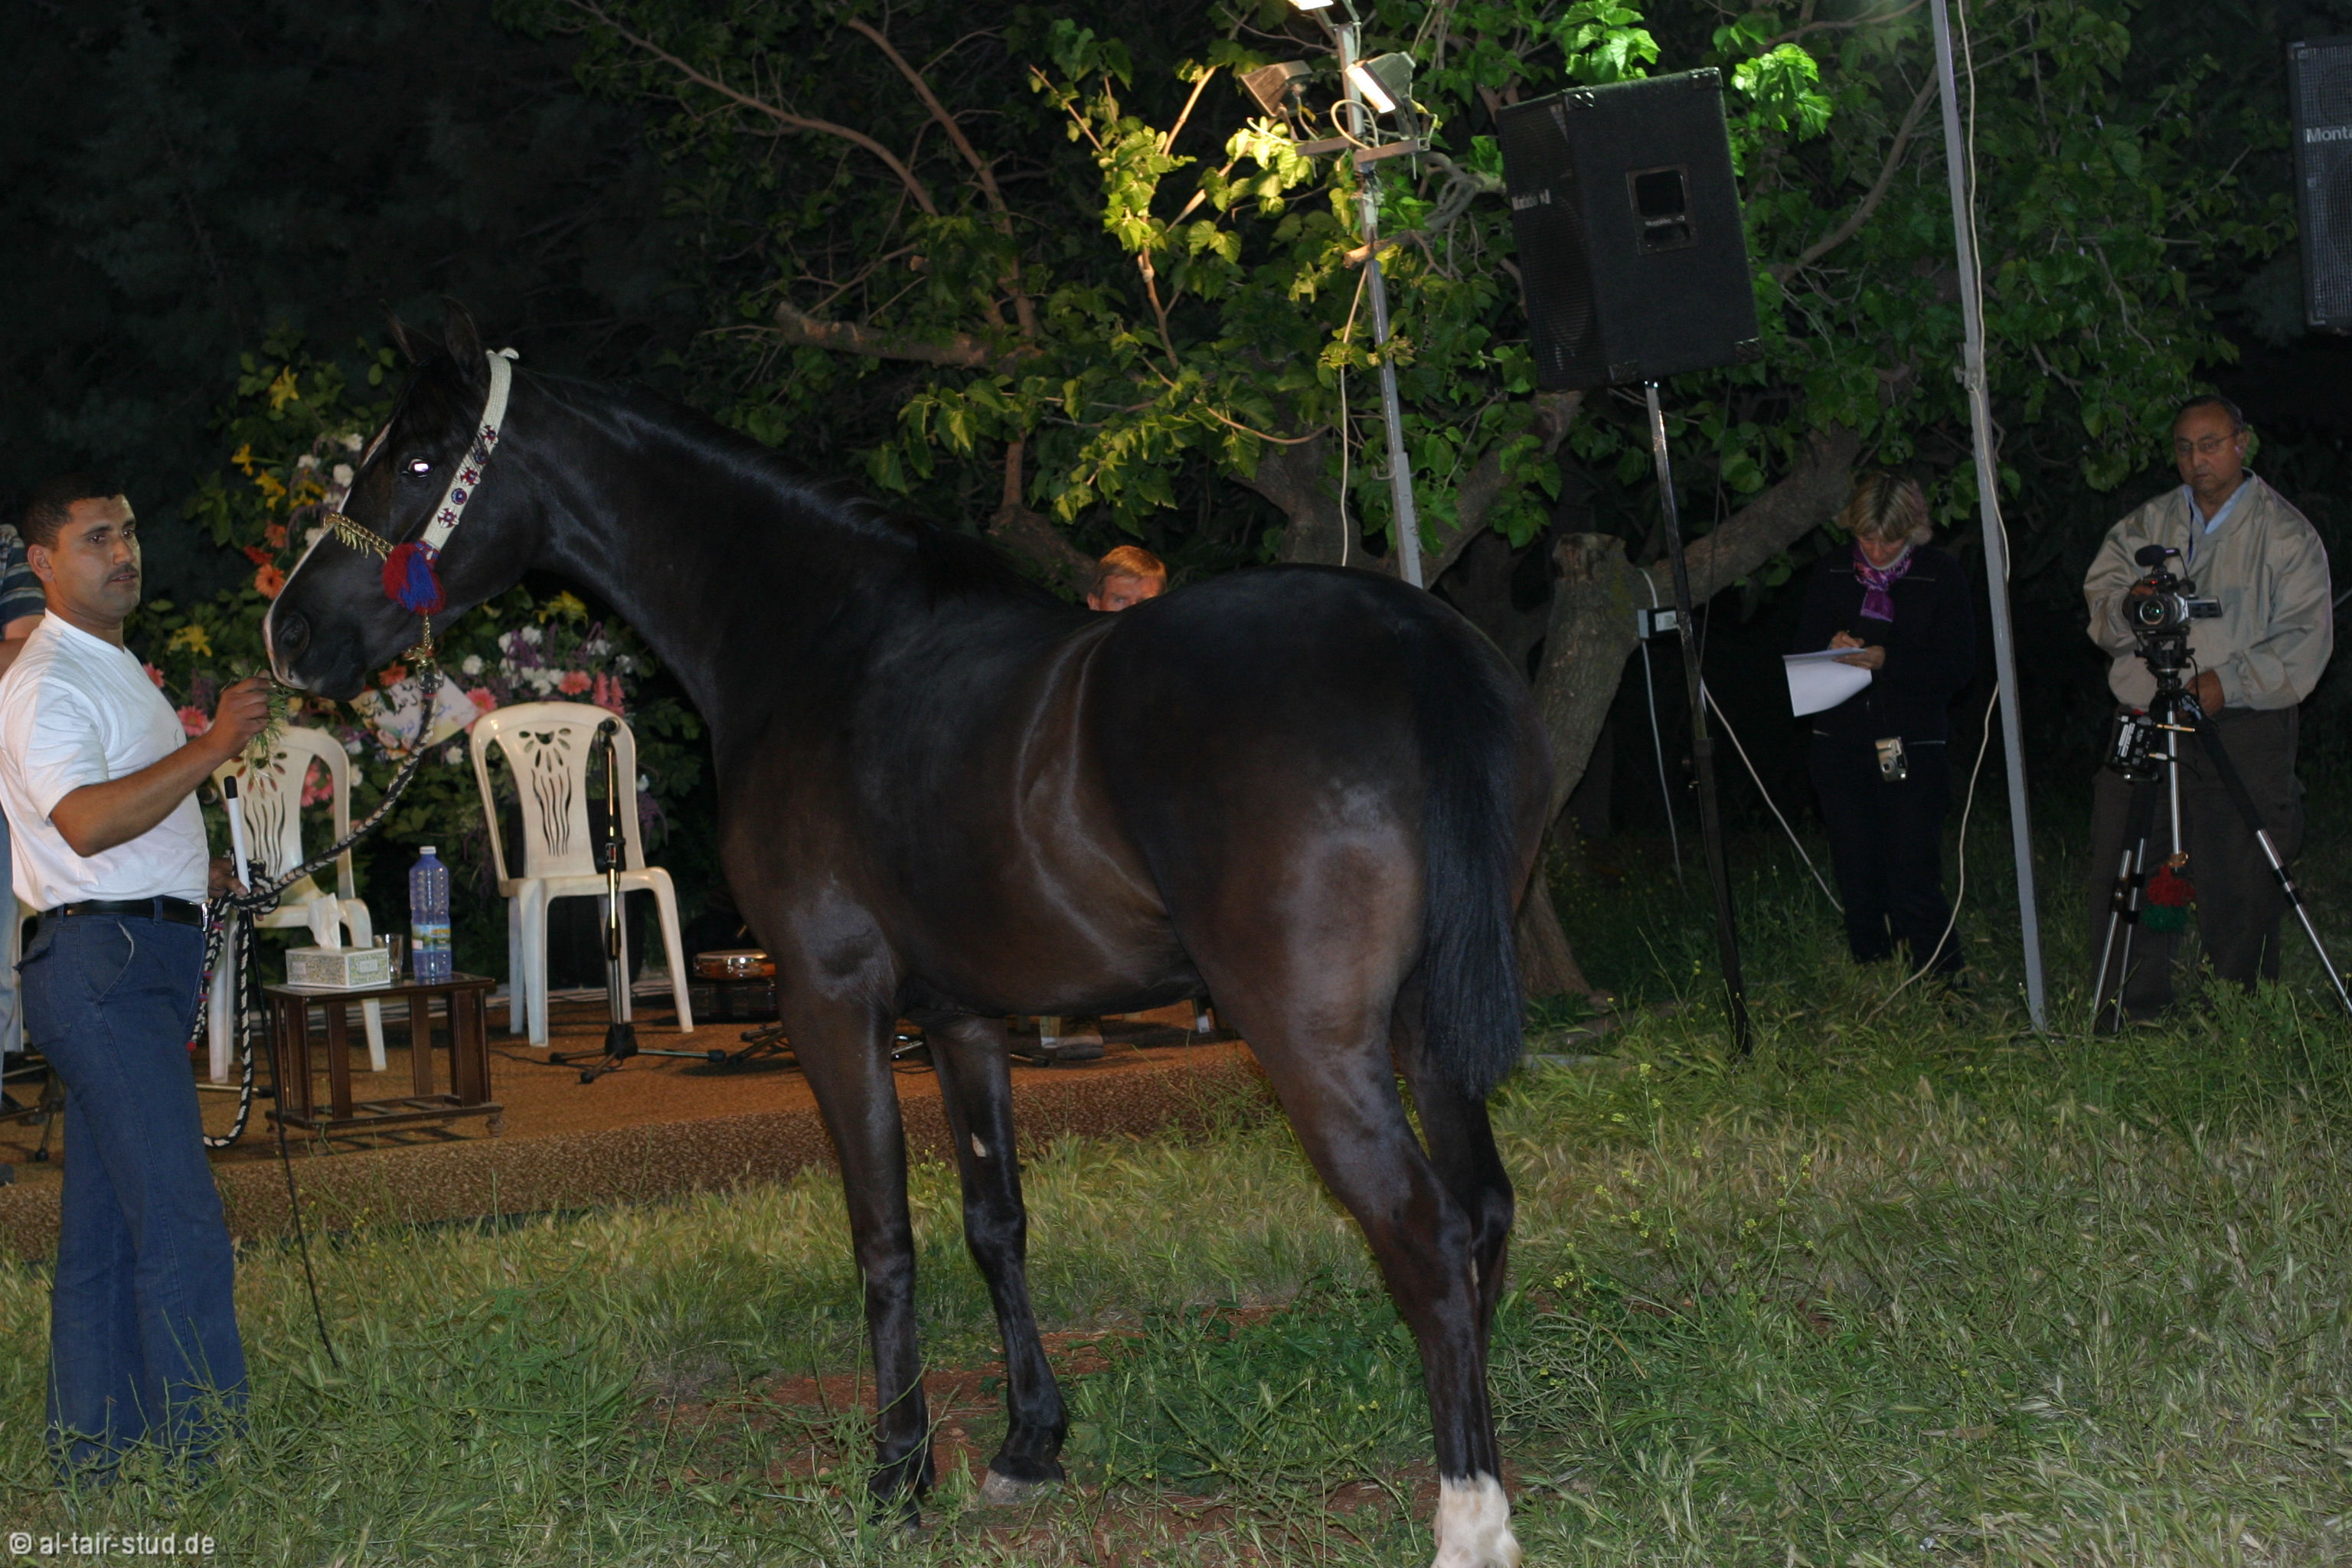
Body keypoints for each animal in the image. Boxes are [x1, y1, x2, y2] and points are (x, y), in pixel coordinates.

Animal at [266, 308, 1549, 1568]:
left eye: (416, 461)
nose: (292, 630)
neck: (824, 641)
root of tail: (1404, 632)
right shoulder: (963, 1016)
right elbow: (995, 1224)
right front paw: (1029, 1446)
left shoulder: (831, 999)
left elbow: (883, 1236)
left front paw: (896, 1474)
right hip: (1426, 1027)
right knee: (1481, 1210)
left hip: (1314, 1039)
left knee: (1424, 1228)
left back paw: (1470, 1515)